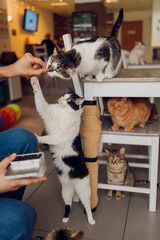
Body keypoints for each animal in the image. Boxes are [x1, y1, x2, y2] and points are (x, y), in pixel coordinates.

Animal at [30, 76, 95, 225]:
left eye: (69, 100)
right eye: (63, 95)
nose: (60, 99)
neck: (63, 112)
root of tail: (73, 184)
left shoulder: (59, 137)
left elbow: (48, 138)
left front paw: (36, 137)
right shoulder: (46, 111)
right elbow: (40, 99)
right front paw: (35, 81)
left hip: (84, 189)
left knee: (87, 204)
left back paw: (91, 220)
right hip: (66, 191)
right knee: (68, 204)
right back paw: (65, 218)